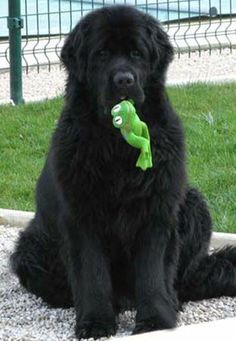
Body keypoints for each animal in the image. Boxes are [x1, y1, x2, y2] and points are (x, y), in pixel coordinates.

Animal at [10, 3, 236, 338]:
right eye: (102, 53)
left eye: (137, 53)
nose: (124, 80)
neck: (117, 145)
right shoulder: (82, 216)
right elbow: (92, 274)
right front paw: (95, 322)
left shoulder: (157, 210)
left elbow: (152, 272)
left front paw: (155, 321)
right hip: (29, 247)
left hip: (194, 204)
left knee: (181, 281)